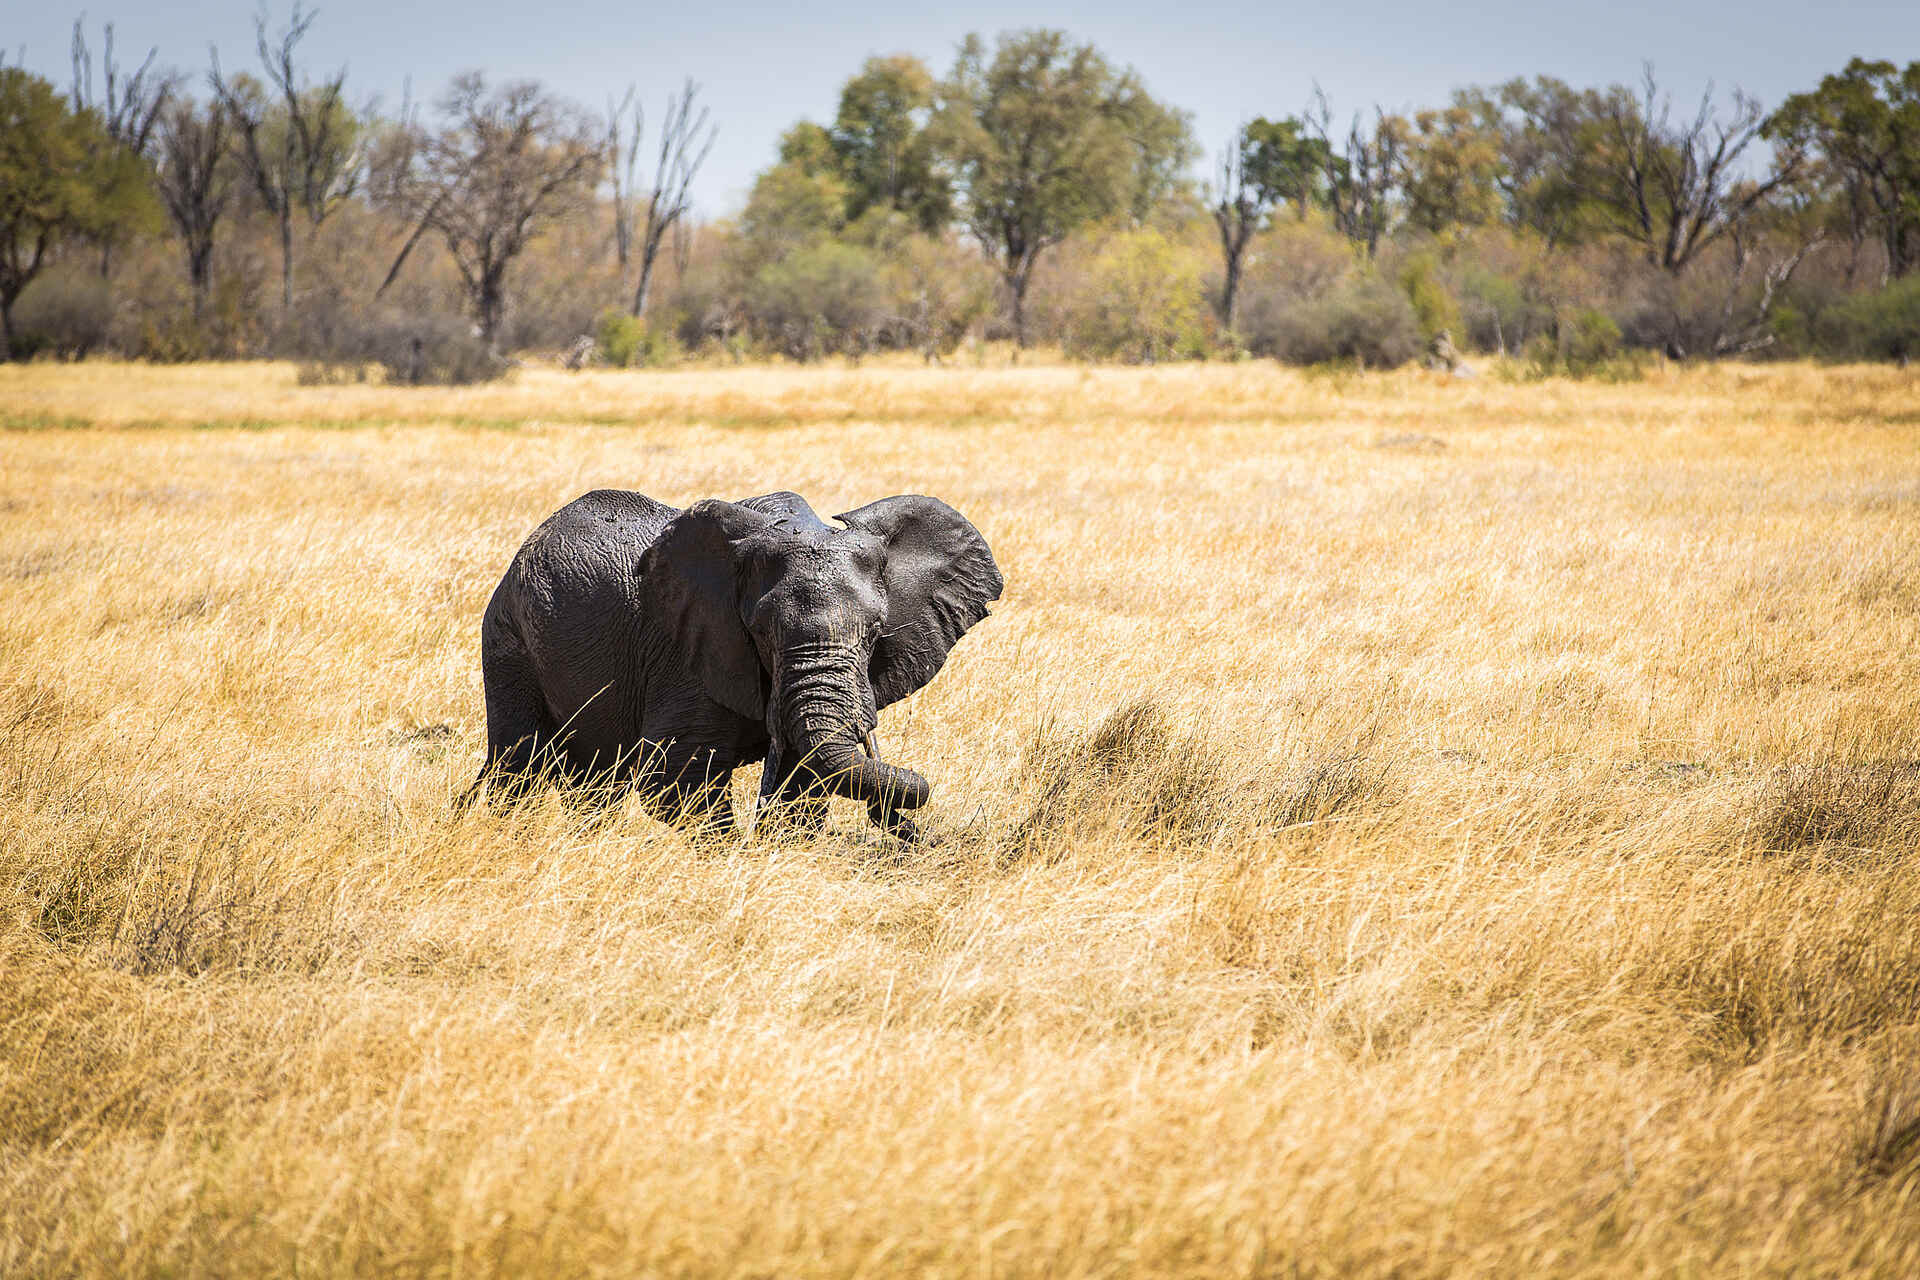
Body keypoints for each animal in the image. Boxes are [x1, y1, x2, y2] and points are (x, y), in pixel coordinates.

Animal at [461, 488, 1003, 840]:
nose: (907, 824)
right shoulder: (688, 652)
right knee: (520, 765)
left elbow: (805, 781)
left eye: (875, 633)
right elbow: (677, 781)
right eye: (761, 632)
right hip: (509, 638)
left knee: (592, 780)